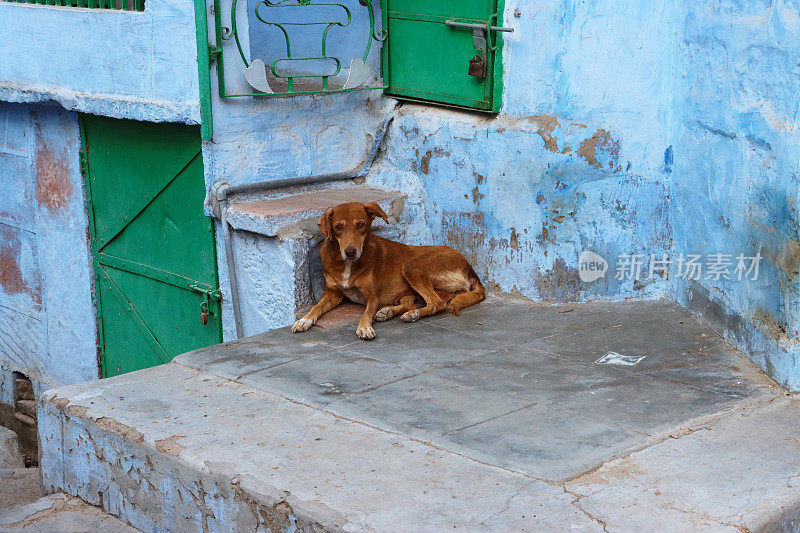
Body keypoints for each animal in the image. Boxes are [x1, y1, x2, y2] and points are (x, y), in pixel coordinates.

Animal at [292, 202, 484, 338]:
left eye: (361, 224)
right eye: (338, 227)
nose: (350, 251)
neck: (347, 264)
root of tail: (469, 268)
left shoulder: (372, 296)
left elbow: (366, 314)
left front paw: (364, 328)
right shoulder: (333, 293)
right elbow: (316, 307)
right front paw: (304, 320)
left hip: (411, 266)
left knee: (436, 303)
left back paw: (411, 315)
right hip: (413, 288)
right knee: (414, 302)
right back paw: (388, 312)